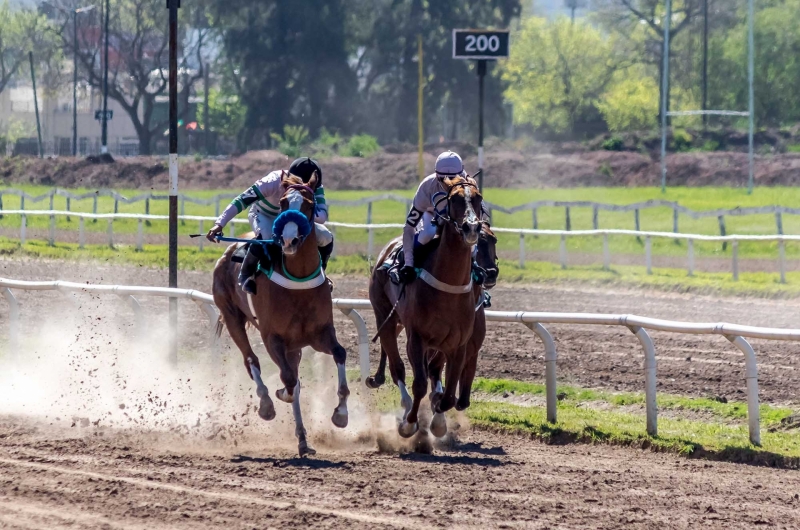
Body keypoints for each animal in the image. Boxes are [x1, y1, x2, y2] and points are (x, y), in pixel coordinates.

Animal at [211, 171, 348, 456]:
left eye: (309, 204)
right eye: (283, 202)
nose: (289, 241)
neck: (298, 279)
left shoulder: (320, 334)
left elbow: (339, 354)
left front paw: (341, 414)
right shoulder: (272, 337)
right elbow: (289, 380)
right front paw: (277, 396)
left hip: (294, 345)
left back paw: (303, 440)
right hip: (231, 317)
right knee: (251, 360)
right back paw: (266, 404)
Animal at [368, 175, 482, 436]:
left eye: (478, 198)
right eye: (455, 199)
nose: (472, 227)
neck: (448, 286)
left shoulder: (457, 344)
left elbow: (447, 395)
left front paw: (438, 421)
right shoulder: (417, 337)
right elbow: (419, 383)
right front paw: (409, 424)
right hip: (385, 316)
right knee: (397, 367)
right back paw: (406, 406)